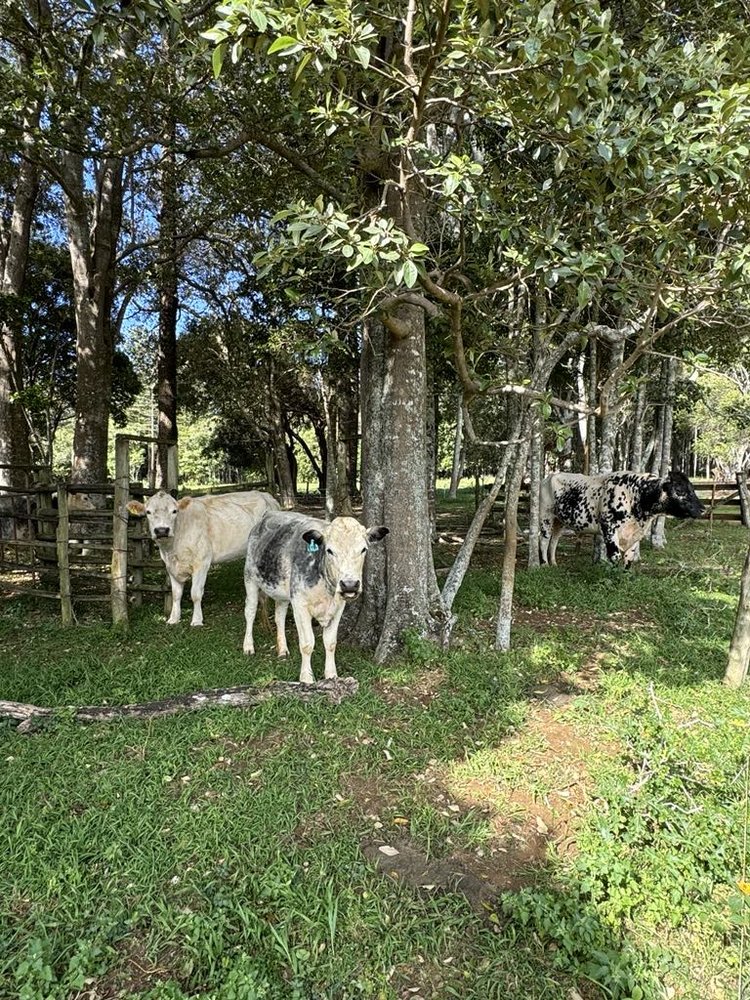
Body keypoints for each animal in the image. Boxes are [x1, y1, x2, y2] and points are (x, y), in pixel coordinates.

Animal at [126, 489, 280, 625]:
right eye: (148, 512)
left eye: (174, 511)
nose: (162, 530)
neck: (173, 549)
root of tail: (266, 495)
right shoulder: (171, 567)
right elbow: (176, 594)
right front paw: (173, 619)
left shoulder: (202, 562)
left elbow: (195, 593)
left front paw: (197, 620)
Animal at [242, 511, 389, 684]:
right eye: (329, 550)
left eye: (363, 549)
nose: (350, 585)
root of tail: (269, 514)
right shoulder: (300, 605)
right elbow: (307, 644)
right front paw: (306, 678)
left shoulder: (338, 607)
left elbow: (330, 643)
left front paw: (332, 675)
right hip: (250, 578)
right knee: (250, 611)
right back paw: (248, 647)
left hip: (282, 593)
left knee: (279, 617)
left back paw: (283, 649)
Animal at [539, 470, 704, 567]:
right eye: (679, 490)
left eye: (692, 488)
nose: (703, 509)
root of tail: (549, 477)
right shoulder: (609, 529)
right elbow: (615, 555)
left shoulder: (635, 534)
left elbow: (629, 558)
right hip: (546, 516)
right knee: (544, 539)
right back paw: (544, 564)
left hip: (559, 521)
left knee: (554, 540)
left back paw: (554, 563)